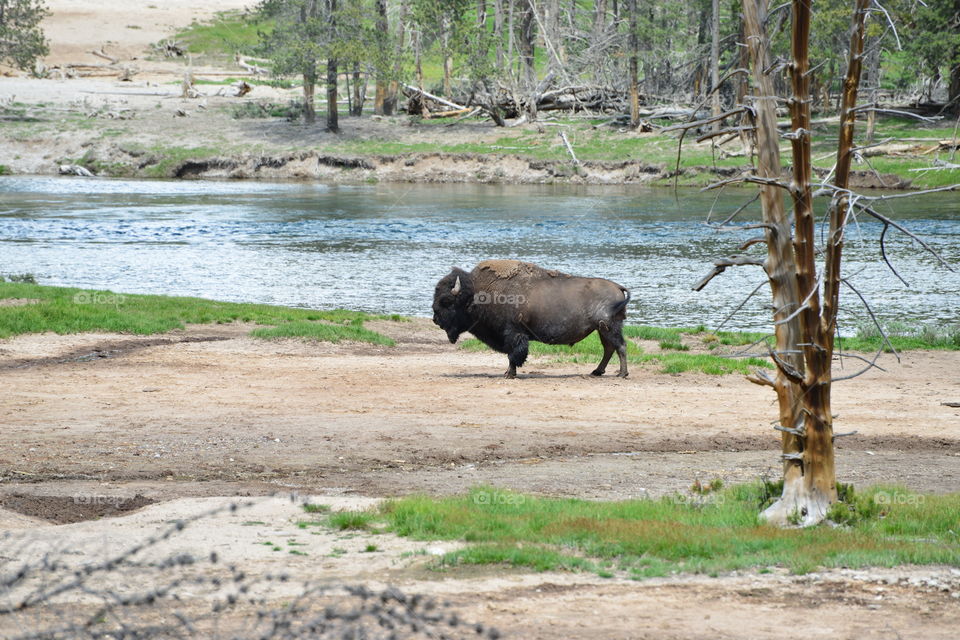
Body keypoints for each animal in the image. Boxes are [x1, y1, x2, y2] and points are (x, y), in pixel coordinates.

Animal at [432, 259, 631, 378]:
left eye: (446, 301)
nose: (435, 319)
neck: (477, 293)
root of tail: (618, 287)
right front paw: (508, 372)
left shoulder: (514, 333)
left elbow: (514, 354)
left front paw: (509, 374)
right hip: (601, 329)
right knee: (609, 348)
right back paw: (597, 371)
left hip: (609, 327)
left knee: (620, 346)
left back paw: (622, 374)